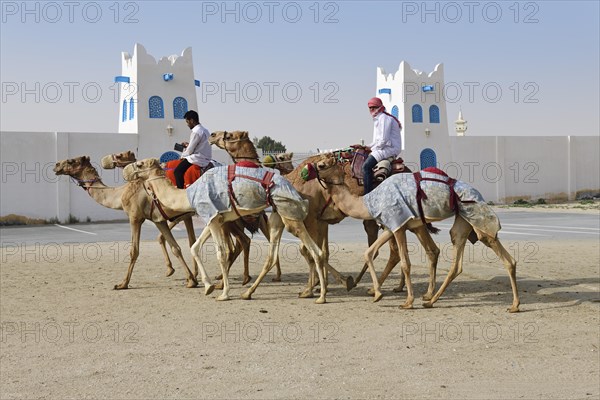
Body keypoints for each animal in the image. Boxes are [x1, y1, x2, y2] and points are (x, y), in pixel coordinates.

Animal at [52, 155, 202, 290]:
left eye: (71, 161)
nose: (56, 166)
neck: (120, 194)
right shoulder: (158, 220)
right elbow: (175, 247)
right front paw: (190, 280)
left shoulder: (134, 217)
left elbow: (134, 251)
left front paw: (122, 284)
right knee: (191, 241)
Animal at [123, 156, 328, 304]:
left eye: (139, 164)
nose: (125, 172)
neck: (187, 194)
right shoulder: (214, 218)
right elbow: (195, 247)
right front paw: (208, 286)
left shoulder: (213, 218)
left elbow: (221, 253)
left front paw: (224, 293)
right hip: (278, 214)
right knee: (272, 255)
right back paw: (248, 293)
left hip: (287, 211)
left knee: (315, 251)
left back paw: (320, 296)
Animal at [314, 154, 520, 312]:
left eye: (322, 165)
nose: (310, 169)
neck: (368, 201)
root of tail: (479, 194)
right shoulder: (392, 225)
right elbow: (369, 252)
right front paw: (377, 293)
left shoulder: (397, 224)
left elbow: (405, 263)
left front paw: (406, 301)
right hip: (463, 221)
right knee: (459, 260)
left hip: (476, 217)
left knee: (494, 248)